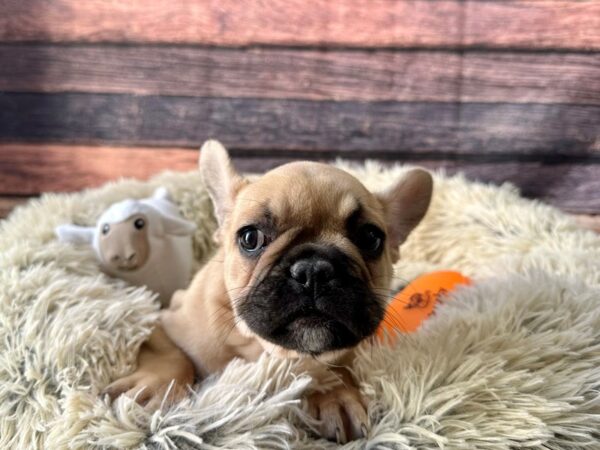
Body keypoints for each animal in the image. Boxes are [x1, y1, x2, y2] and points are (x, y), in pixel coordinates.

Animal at [104, 141, 432, 442]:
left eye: (370, 238)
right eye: (250, 237)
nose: (314, 270)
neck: (262, 347)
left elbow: (331, 365)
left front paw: (335, 393)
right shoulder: (169, 320)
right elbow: (169, 354)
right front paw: (155, 389)